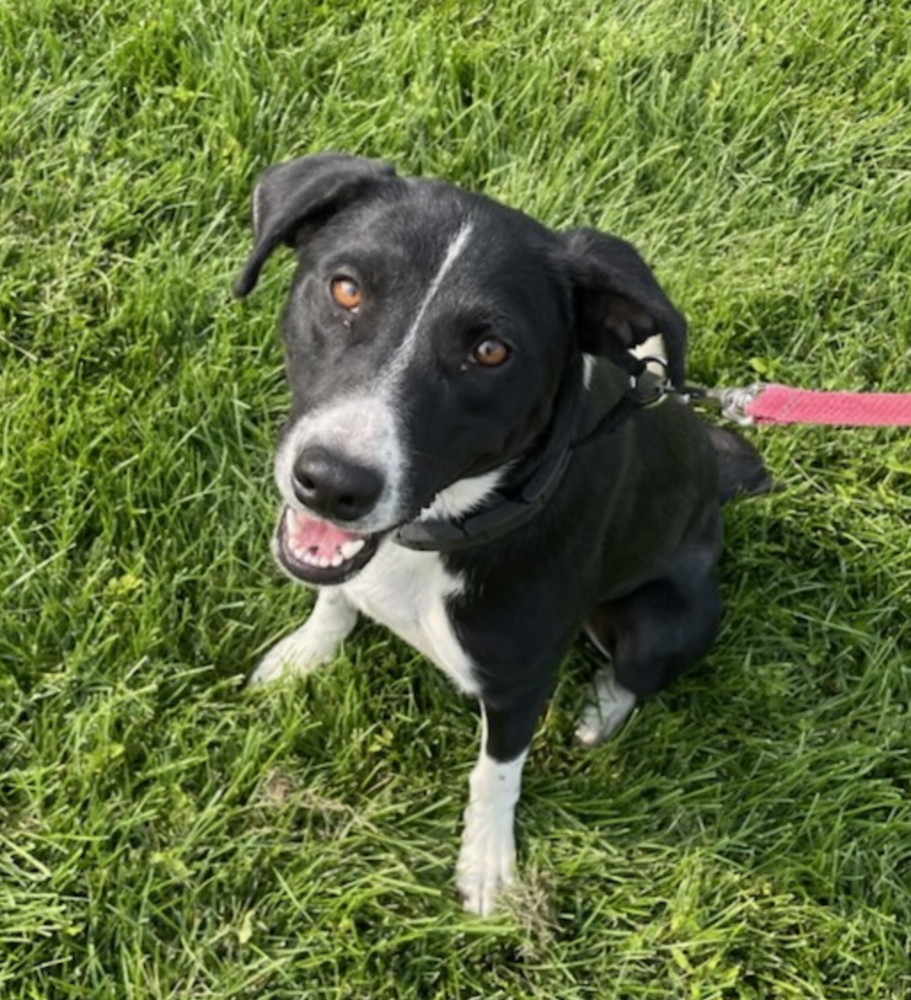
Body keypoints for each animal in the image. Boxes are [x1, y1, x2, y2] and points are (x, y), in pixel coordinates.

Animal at [233, 154, 768, 916]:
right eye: (345, 289)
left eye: (490, 351)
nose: (331, 482)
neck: (443, 528)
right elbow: (335, 598)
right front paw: (304, 654)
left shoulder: (520, 686)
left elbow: (494, 775)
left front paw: (486, 863)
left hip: (659, 623)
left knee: (636, 672)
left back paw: (601, 707)